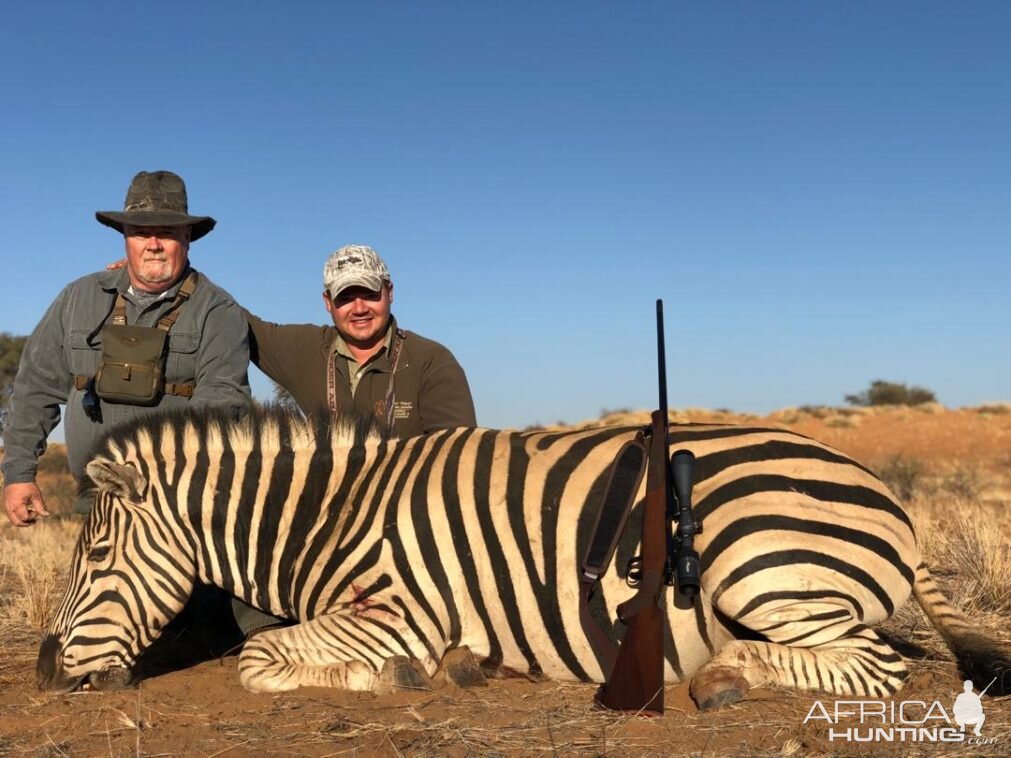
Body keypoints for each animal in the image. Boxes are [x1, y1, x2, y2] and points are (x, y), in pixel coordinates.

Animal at [35, 406, 1006, 711]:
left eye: (97, 554)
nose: (45, 672)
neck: (337, 514)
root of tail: (888, 496)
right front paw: (455, 668)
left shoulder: (400, 610)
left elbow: (257, 655)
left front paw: (401, 677)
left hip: (759, 560)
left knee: (875, 665)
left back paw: (725, 672)